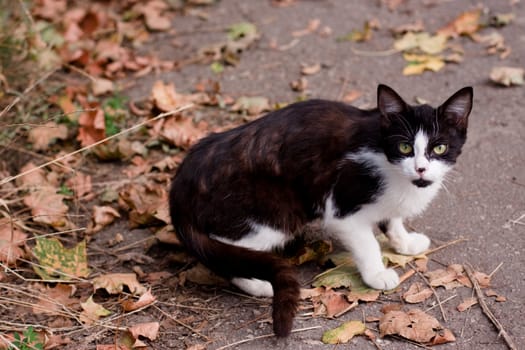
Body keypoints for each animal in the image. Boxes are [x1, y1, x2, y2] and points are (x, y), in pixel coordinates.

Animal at [170, 84, 472, 336]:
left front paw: (404, 242)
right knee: (227, 250)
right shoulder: (342, 204)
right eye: (405, 146)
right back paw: (258, 283)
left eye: (440, 148)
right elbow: (367, 243)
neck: (387, 159)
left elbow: (393, 217)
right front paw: (377, 275)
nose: (420, 169)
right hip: (275, 212)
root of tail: (181, 185)